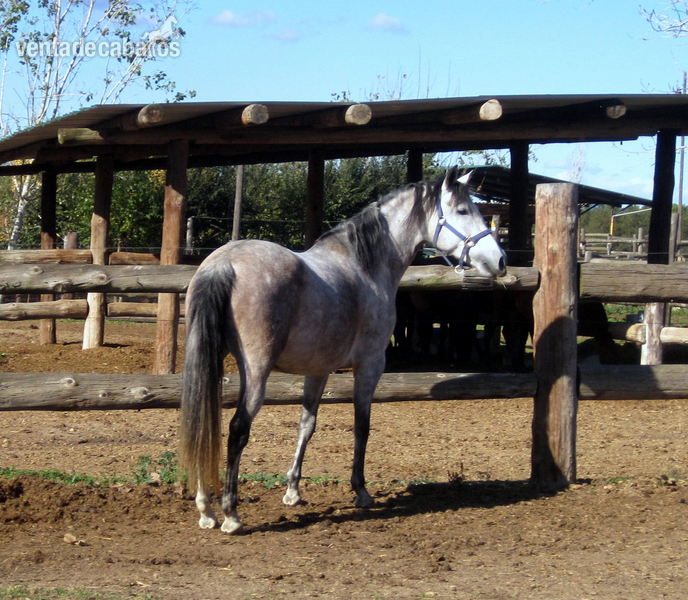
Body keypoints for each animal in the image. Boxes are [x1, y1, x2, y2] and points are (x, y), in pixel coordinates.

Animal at [178, 167, 507, 534]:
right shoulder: (370, 365)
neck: (365, 266)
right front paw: (361, 490)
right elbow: (362, 425)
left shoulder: (318, 370)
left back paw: (206, 509)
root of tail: (224, 263)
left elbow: (306, 424)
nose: (500, 260)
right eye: (463, 211)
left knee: (202, 423)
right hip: (255, 371)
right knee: (237, 430)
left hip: (206, 361)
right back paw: (231, 514)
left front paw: (293, 491)